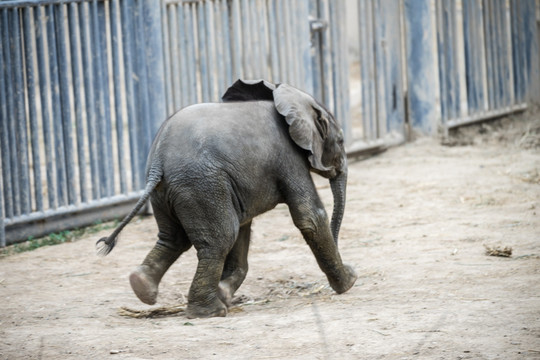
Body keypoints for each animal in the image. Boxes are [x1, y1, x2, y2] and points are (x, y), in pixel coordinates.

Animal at [97, 79, 358, 318]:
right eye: (341, 141)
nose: (347, 267)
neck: (285, 96)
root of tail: (158, 161)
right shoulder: (288, 158)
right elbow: (310, 217)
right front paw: (350, 281)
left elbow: (244, 226)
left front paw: (223, 291)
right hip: (200, 184)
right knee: (220, 238)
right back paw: (209, 312)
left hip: (172, 192)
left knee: (175, 238)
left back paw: (142, 286)